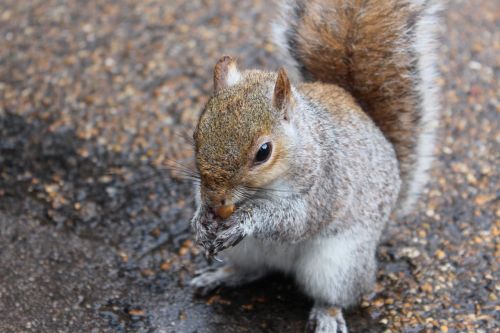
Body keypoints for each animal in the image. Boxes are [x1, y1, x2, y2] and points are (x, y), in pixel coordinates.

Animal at [188, 1, 442, 330]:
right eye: (196, 134)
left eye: (263, 152)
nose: (217, 200)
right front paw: (199, 219)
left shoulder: (326, 184)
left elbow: (295, 220)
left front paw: (246, 219)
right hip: (248, 252)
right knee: (253, 270)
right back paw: (220, 276)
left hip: (338, 264)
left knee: (336, 293)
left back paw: (327, 315)